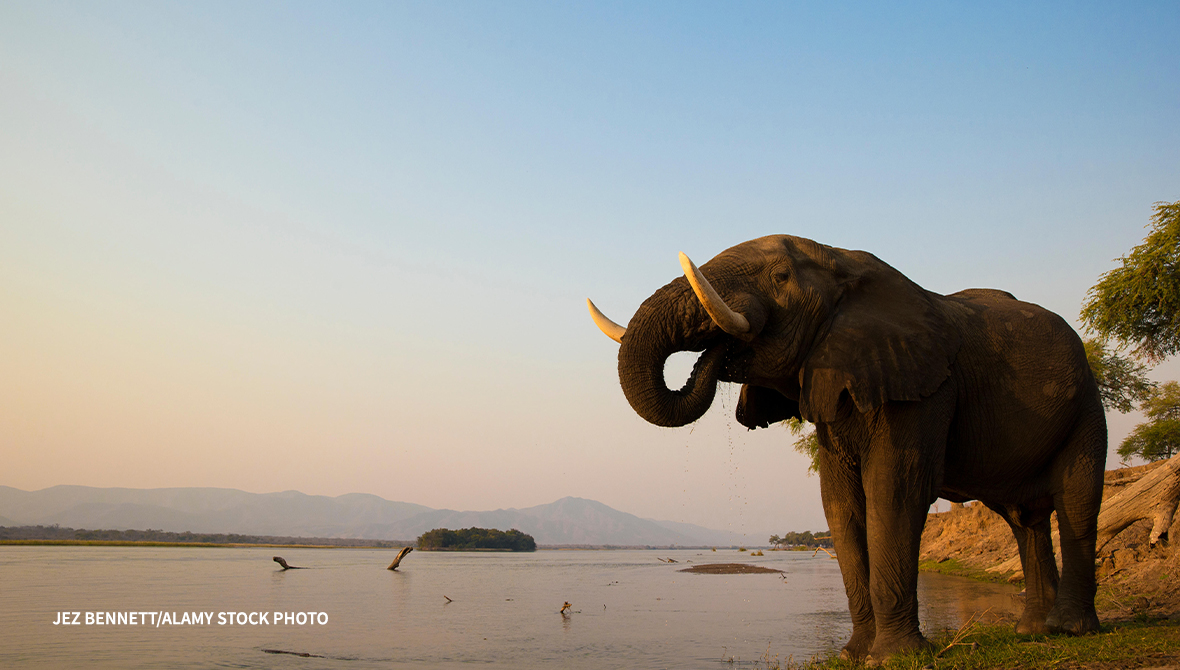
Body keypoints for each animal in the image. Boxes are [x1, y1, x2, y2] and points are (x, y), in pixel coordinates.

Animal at [588, 235, 1105, 664]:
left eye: (780, 276)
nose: (719, 351)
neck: (844, 262)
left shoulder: (924, 389)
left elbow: (893, 493)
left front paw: (893, 659)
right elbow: (840, 505)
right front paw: (854, 655)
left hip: (1086, 403)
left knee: (1076, 502)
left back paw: (1070, 630)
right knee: (1024, 519)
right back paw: (1032, 633)